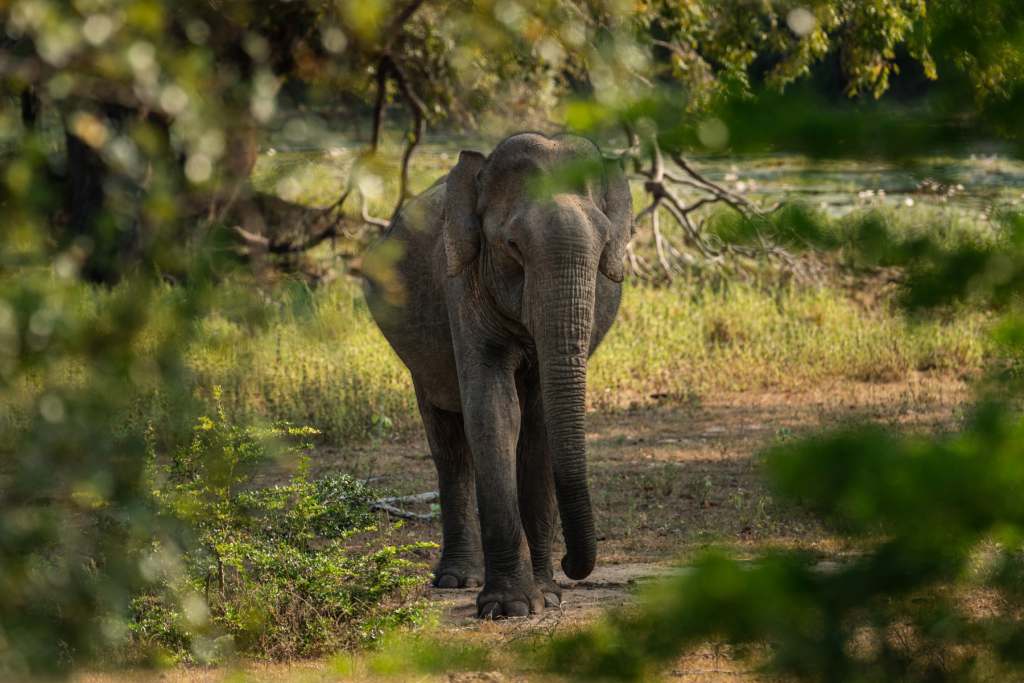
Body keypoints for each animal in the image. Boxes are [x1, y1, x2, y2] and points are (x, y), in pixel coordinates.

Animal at [360, 131, 630, 618]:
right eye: (512, 246)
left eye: (603, 249)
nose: (572, 562)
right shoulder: (462, 283)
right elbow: (495, 409)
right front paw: (511, 607)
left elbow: (538, 423)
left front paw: (548, 595)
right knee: (448, 444)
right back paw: (455, 580)